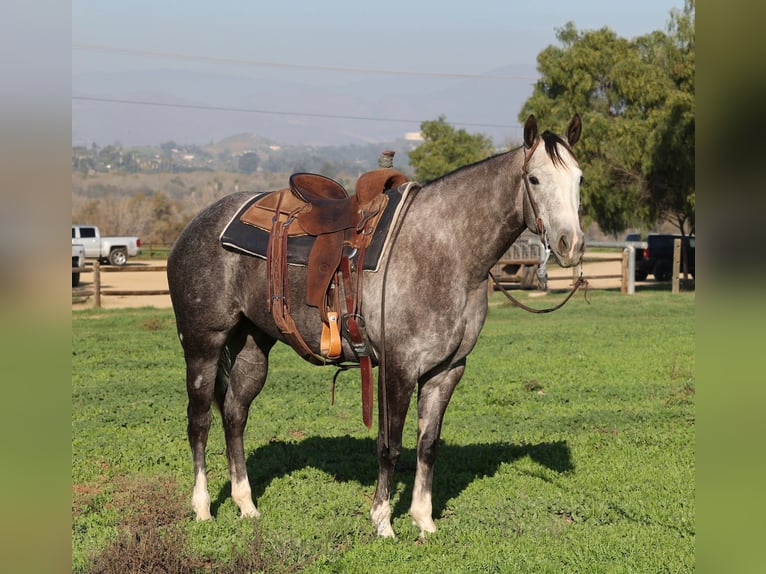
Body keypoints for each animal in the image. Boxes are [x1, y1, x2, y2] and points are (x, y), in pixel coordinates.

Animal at [167, 114, 585, 538]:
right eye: (534, 178)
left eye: (579, 178)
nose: (571, 243)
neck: (443, 249)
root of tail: (198, 224)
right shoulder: (398, 367)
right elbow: (390, 444)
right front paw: (384, 522)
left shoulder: (446, 370)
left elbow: (428, 444)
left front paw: (424, 521)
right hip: (203, 345)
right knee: (199, 421)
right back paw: (203, 508)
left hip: (253, 345)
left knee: (234, 414)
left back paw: (246, 505)